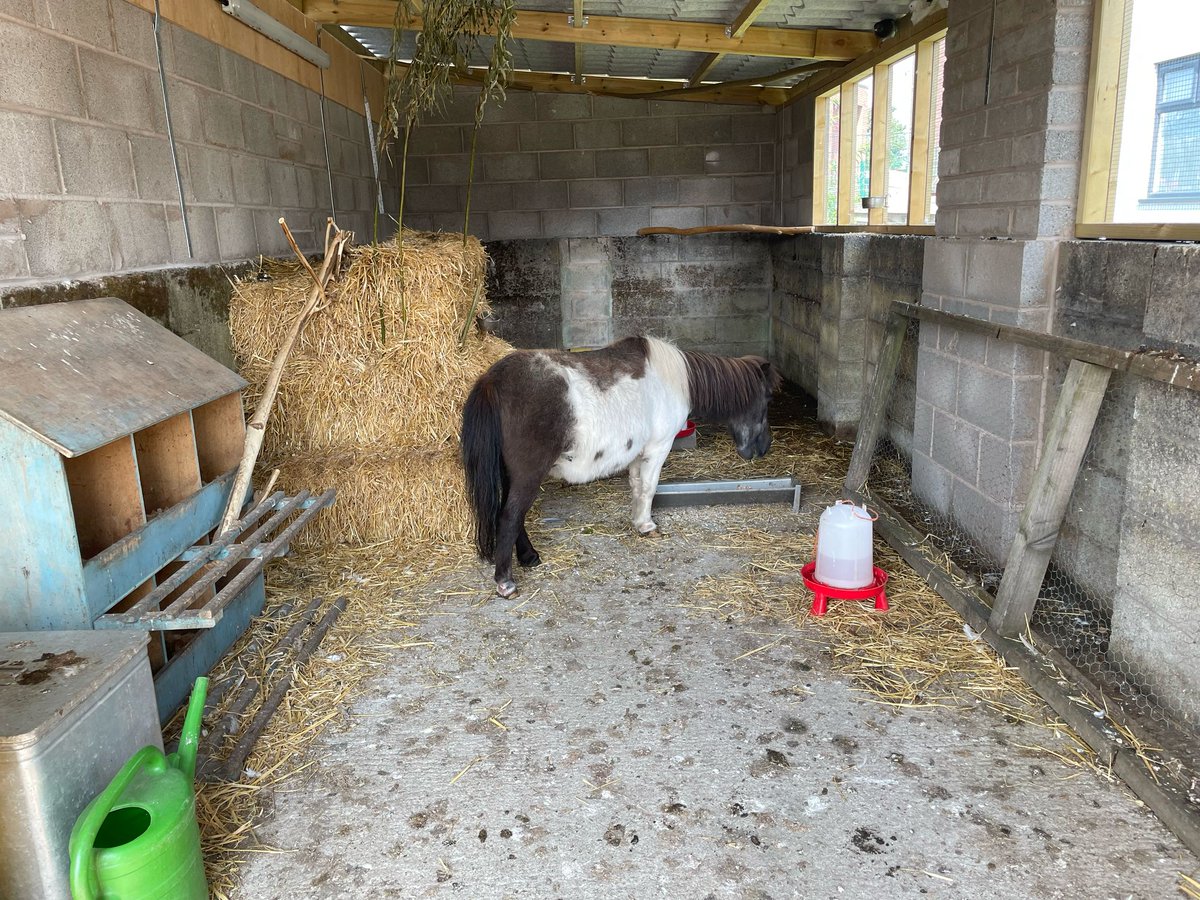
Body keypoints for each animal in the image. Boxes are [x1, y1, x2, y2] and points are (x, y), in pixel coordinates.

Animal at [461, 335, 783, 597]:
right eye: (767, 397)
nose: (763, 448)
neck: (674, 379)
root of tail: (492, 381)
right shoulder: (658, 448)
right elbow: (649, 488)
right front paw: (647, 525)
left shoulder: (638, 454)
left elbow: (637, 487)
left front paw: (639, 521)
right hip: (528, 474)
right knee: (510, 516)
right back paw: (506, 582)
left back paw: (529, 557)